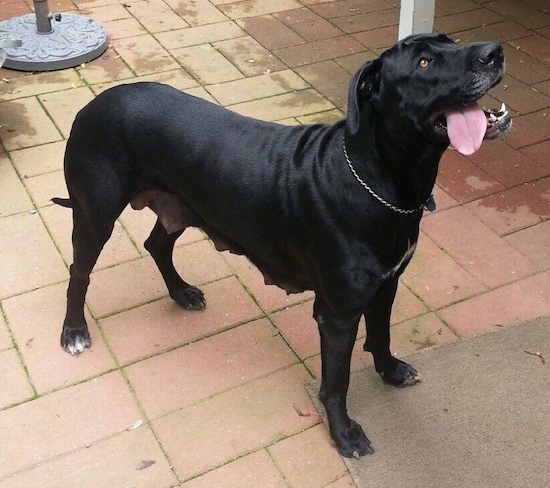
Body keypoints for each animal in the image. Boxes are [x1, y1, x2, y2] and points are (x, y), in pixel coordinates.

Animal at [54, 33, 512, 458]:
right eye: (423, 63)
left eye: (450, 42)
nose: (494, 52)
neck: (381, 182)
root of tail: (93, 104)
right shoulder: (337, 315)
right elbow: (336, 382)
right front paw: (344, 434)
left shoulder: (387, 283)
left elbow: (381, 335)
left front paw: (390, 371)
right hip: (95, 216)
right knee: (80, 272)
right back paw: (74, 331)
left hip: (179, 205)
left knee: (156, 244)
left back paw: (181, 292)